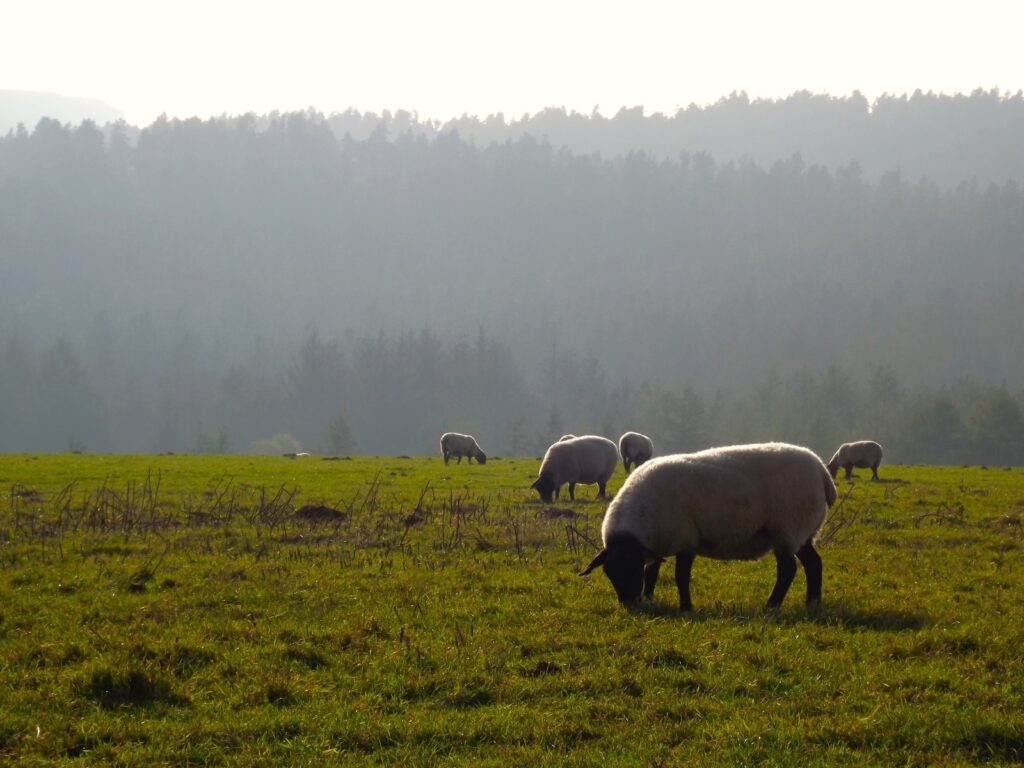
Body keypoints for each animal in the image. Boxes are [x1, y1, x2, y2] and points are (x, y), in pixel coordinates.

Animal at [581, 444, 835, 614]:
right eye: (609, 572)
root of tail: (822, 471)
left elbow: (680, 576)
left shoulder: (686, 540)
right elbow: (652, 572)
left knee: (788, 569)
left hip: (788, 528)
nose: (630, 605)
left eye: (631, 568)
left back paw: (771, 605)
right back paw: (812, 603)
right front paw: (650, 598)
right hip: (802, 532)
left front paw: (686, 608)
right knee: (813, 563)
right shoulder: (658, 544)